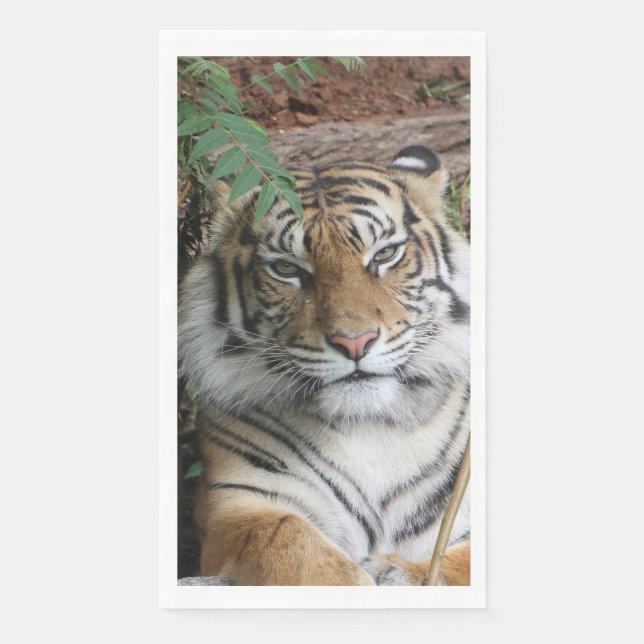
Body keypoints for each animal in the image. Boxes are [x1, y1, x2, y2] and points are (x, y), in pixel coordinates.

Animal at [178, 144, 471, 586]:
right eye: (286, 268)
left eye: (385, 254)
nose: (355, 342)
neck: (369, 430)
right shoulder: (237, 503)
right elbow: (285, 536)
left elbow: (459, 562)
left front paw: (398, 572)